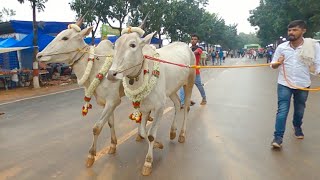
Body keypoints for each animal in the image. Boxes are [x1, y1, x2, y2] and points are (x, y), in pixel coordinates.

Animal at [107, 29, 196, 176]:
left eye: (133, 45)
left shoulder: (160, 107)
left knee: (186, 108)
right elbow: (143, 132)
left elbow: (151, 135)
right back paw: (172, 131)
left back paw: (182, 134)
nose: (111, 74)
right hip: (172, 90)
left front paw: (148, 162)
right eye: (115, 45)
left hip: (189, 82)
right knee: (178, 104)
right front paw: (158, 145)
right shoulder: (144, 108)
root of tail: (186, 46)